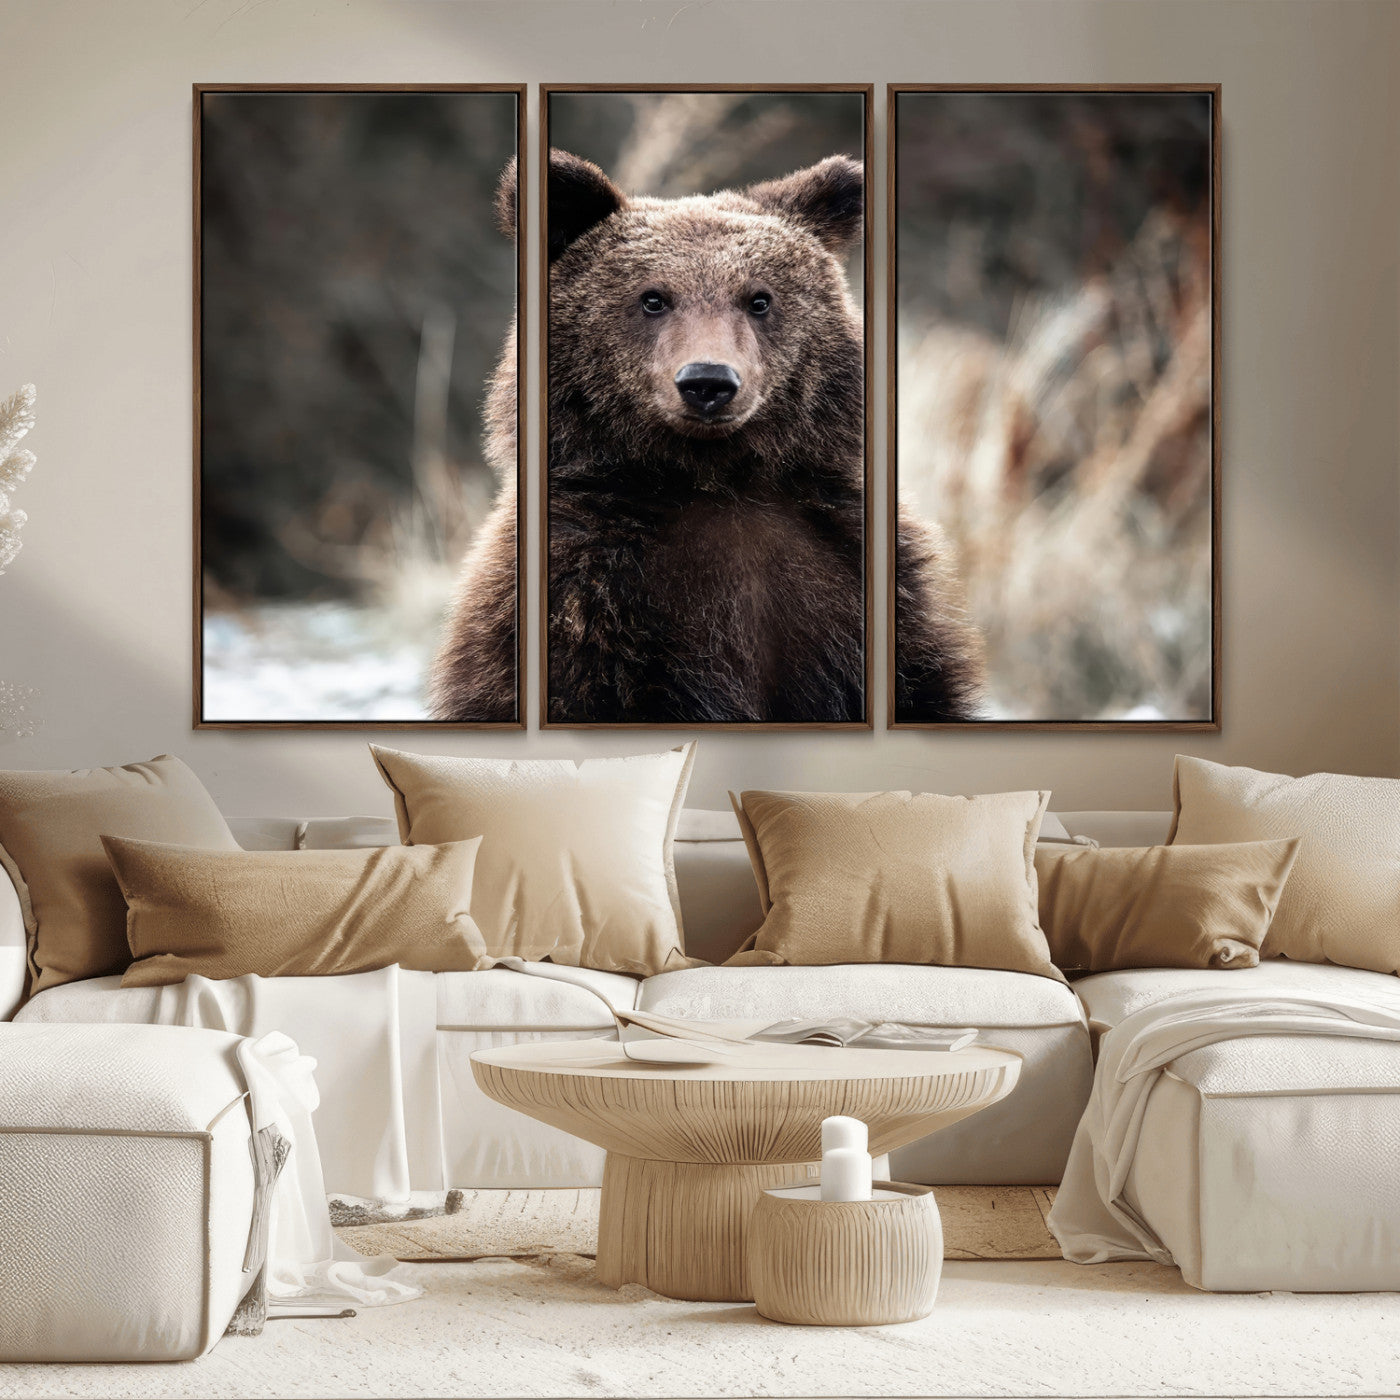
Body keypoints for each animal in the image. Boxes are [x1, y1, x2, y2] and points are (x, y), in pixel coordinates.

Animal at [430, 149, 982, 725]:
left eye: (759, 299)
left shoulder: (852, 577)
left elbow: (921, 685)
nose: (708, 382)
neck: (715, 478)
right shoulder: (586, 597)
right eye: (653, 298)